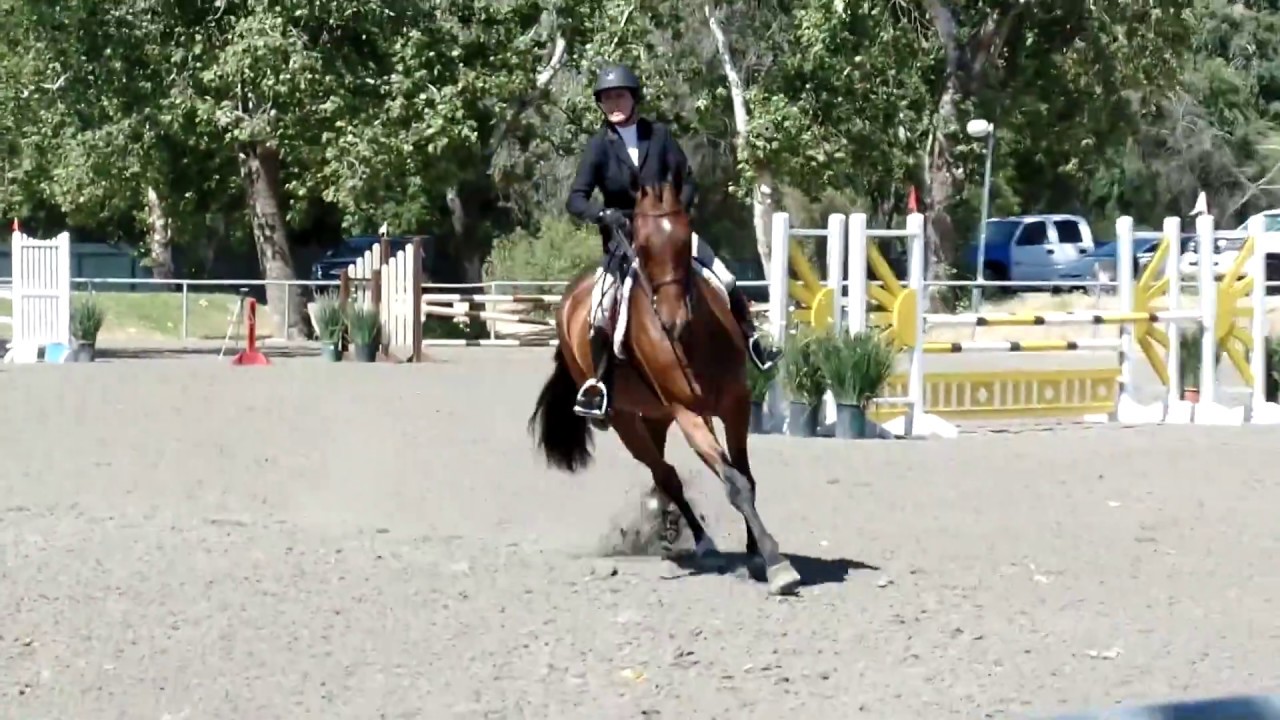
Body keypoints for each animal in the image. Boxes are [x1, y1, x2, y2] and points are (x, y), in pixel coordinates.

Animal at [526, 173, 803, 596]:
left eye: (685, 238)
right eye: (640, 245)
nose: (672, 320)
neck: (692, 338)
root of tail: (571, 295)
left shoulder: (735, 403)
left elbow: (746, 477)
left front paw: (756, 551)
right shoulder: (689, 413)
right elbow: (735, 483)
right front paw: (776, 563)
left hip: (656, 415)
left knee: (662, 473)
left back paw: (669, 524)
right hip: (625, 419)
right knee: (666, 474)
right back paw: (699, 541)